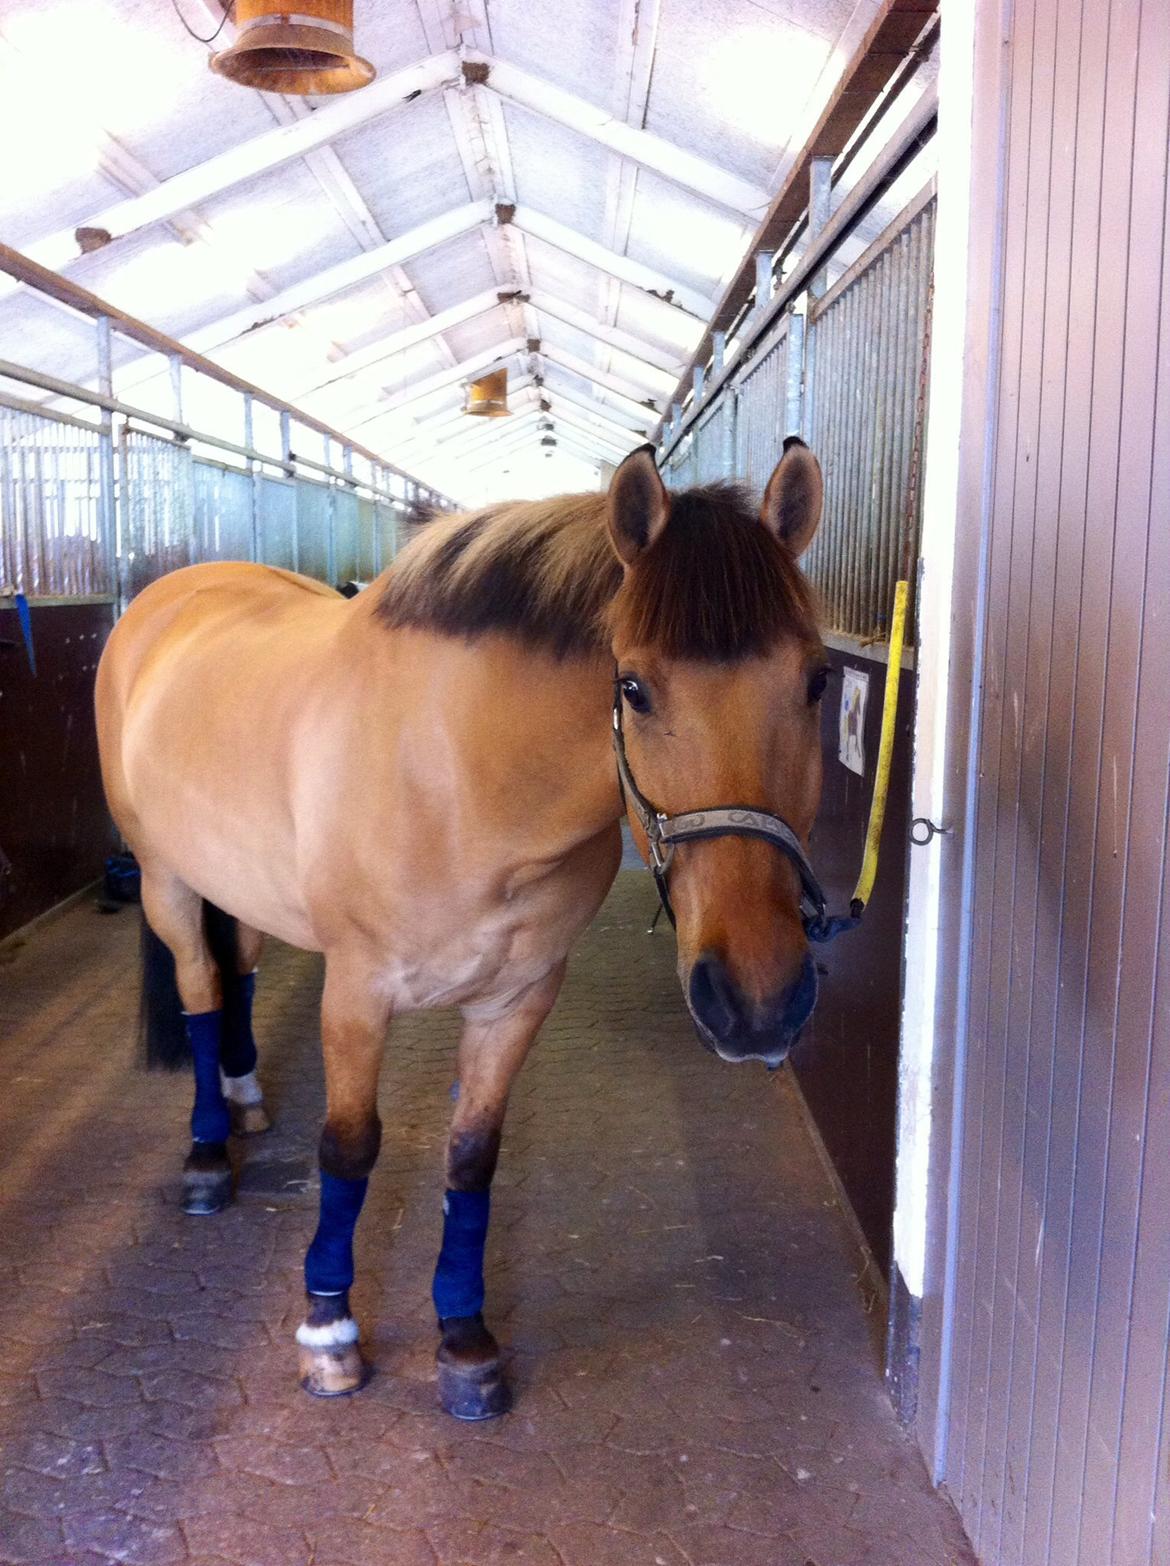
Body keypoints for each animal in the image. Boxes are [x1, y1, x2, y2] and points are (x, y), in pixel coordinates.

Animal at [95, 438, 839, 1421]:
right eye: (633, 688)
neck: (458, 773)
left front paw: (464, 1339)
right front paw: (329, 1330)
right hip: (167, 883)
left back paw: (248, 1098)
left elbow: (472, 1157)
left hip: (242, 887)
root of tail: (168, 597)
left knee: (239, 972)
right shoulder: (356, 993)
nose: (757, 1000)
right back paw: (210, 1155)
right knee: (200, 990)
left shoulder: (516, 999)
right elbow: (349, 1148)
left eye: (817, 680)